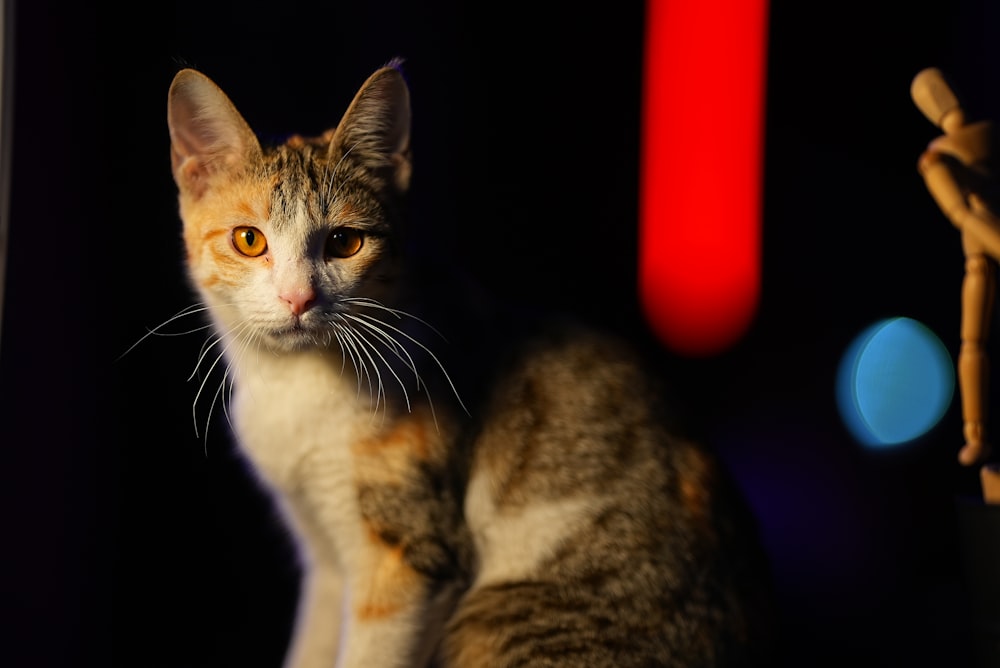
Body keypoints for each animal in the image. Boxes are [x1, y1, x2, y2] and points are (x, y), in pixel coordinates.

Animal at [162, 60, 772, 664]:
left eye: (344, 242)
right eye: (248, 239)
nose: (298, 298)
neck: (297, 385)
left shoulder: (410, 552)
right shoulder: (322, 548)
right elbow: (313, 642)